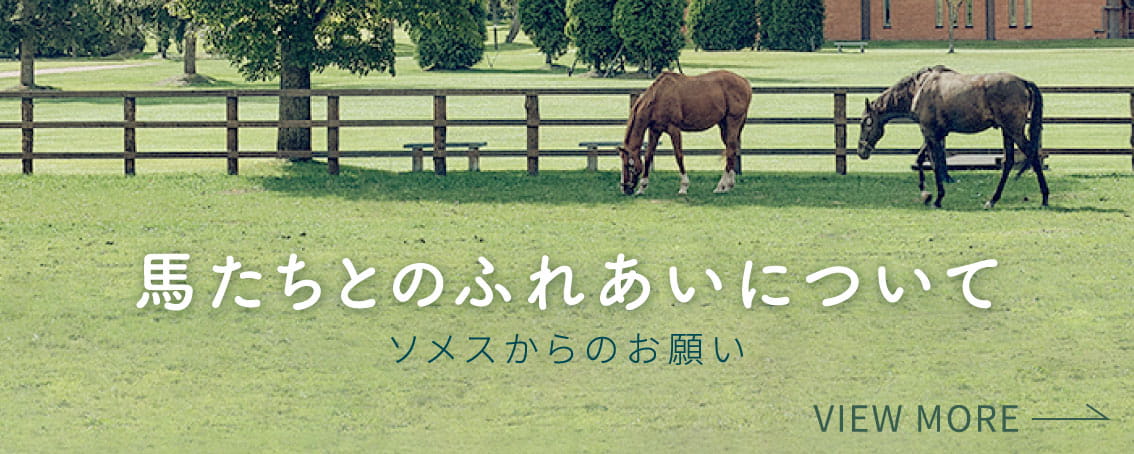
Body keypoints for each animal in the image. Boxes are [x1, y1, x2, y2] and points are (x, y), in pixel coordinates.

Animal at [617, 70, 752, 195]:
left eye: (629, 165)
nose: (625, 189)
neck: (659, 97)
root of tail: (744, 82)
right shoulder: (655, 131)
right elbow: (648, 156)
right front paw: (642, 187)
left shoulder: (674, 130)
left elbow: (679, 156)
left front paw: (684, 186)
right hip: (724, 126)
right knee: (731, 150)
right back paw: (729, 185)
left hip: (733, 122)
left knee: (730, 150)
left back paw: (721, 186)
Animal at [857, 65, 1048, 209]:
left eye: (865, 122)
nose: (861, 151)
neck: (919, 88)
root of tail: (1023, 82)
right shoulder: (936, 133)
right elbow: (922, 160)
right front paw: (925, 192)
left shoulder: (929, 132)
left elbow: (934, 163)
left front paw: (936, 198)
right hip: (1006, 131)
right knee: (1008, 162)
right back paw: (993, 199)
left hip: (1013, 129)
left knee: (1031, 153)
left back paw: (1044, 197)